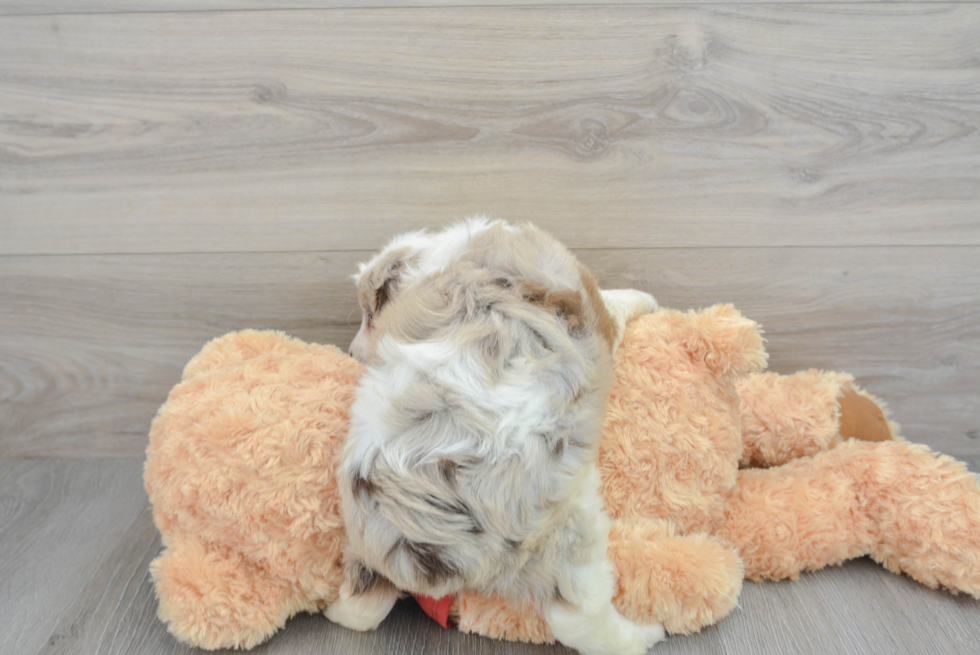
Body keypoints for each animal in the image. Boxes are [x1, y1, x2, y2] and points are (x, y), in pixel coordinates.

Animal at [328, 219, 660, 655]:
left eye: (369, 316)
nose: (350, 353)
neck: (439, 260)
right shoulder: (590, 301)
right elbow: (620, 301)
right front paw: (649, 299)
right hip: (569, 533)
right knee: (579, 618)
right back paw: (645, 634)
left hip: (365, 550)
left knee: (362, 609)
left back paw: (335, 608)